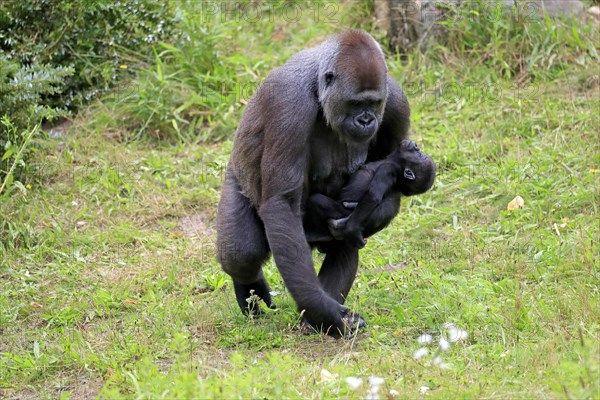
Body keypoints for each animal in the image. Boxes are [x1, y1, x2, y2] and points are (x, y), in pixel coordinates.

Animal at [218, 30, 410, 338]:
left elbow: (391, 178)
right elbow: (281, 202)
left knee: (345, 242)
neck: (320, 89)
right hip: (237, 178)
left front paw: (325, 312)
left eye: (373, 103)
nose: (366, 120)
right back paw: (252, 292)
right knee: (241, 253)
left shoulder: (396, 104)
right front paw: (322, 309)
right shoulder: (288, 103)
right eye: (355, 103)